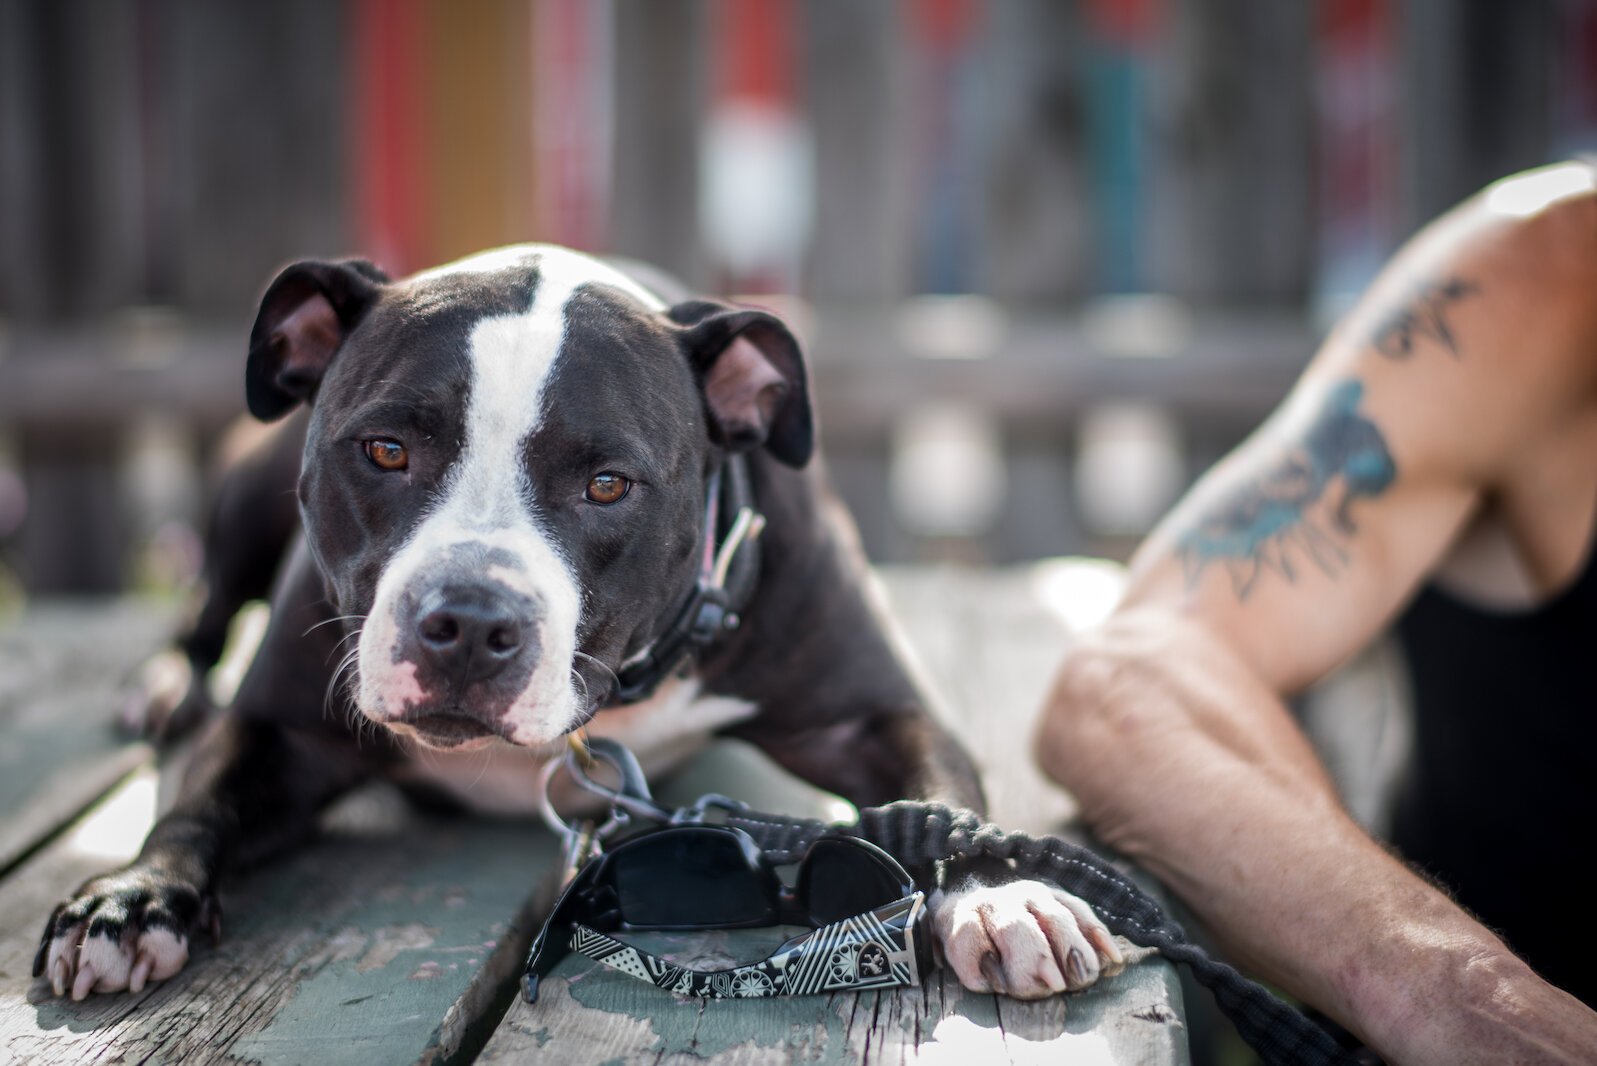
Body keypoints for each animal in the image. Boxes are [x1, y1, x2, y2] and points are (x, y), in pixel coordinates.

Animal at [34, 245, 1124, 1002]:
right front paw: (132, 897)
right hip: (247, 487)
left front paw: (1002, 894)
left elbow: (944, 804)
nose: (468, 622)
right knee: (206, 603)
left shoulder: (873, 717)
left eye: (607, 484)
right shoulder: (281, 730)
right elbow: (197, 800)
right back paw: (162, 684)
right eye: (383, 449)